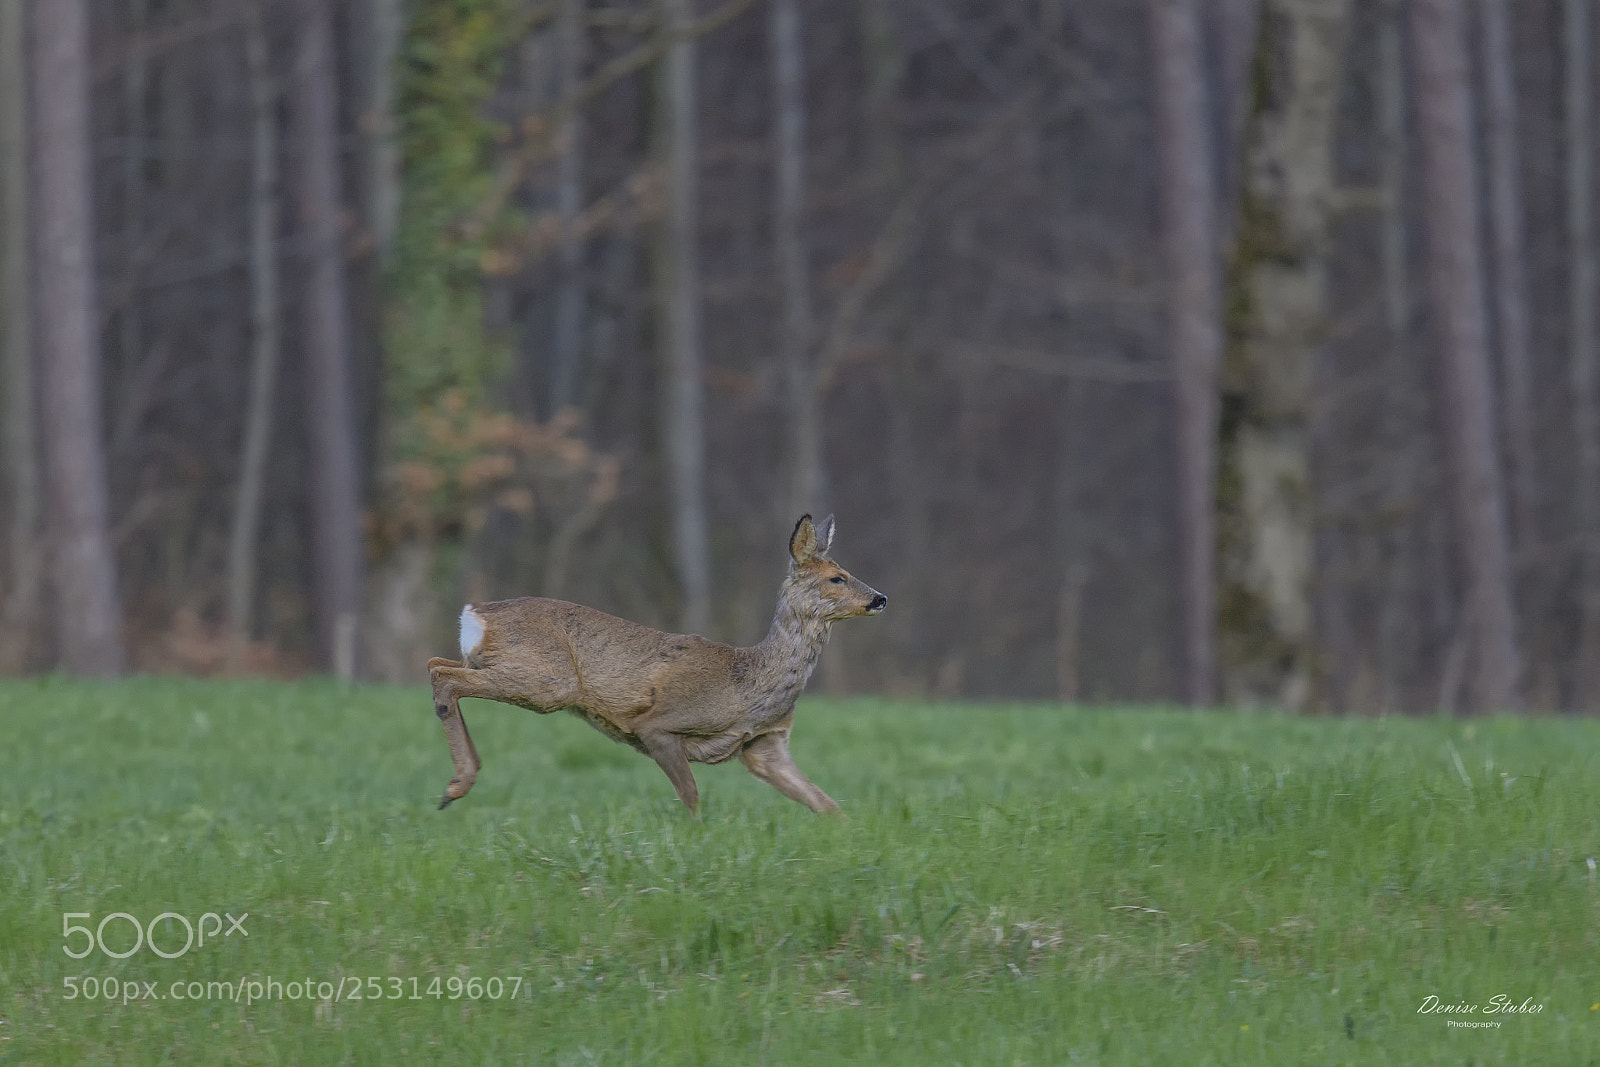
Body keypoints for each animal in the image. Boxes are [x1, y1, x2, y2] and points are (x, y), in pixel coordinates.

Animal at [427, 514, 886, 816]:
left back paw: (454, 787)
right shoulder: (658, 725)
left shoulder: (765, 746)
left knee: (437, 663)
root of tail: (475, 614)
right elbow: (692, 799)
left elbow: (827, 804)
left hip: (508, 667)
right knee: (443, 675)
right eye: (837, 578)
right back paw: (456, 786)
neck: (749, 684)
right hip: (550, 682)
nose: (880, 598)